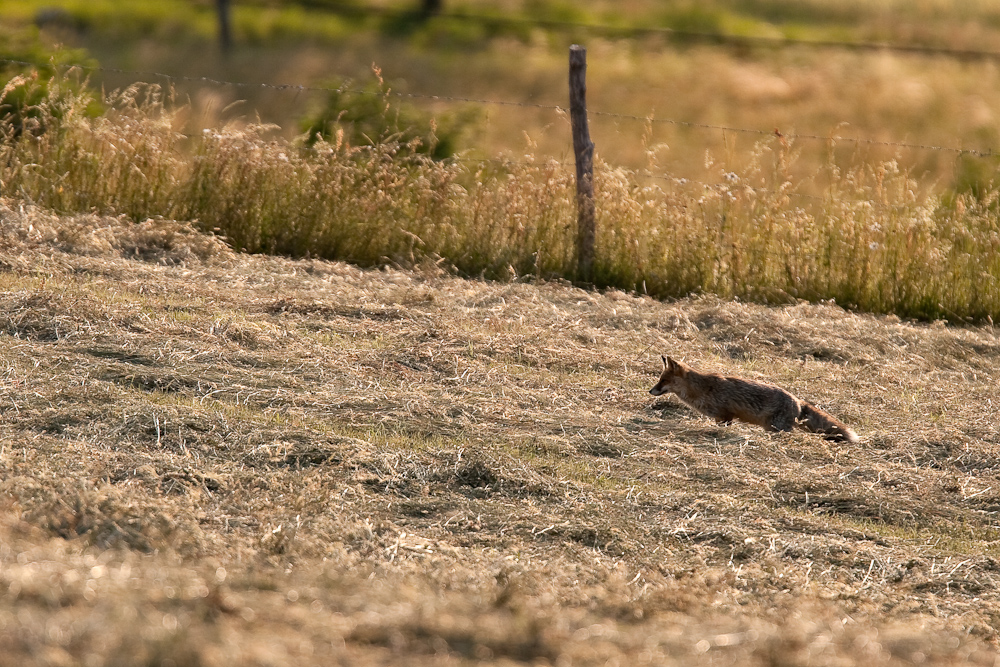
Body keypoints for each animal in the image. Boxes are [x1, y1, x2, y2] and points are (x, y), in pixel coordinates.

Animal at [648, 354, 860, 444]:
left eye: (663, 380)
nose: (650, 391)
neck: (702, 389)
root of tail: (798, 401)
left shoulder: (725, 415)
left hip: (776, 428)